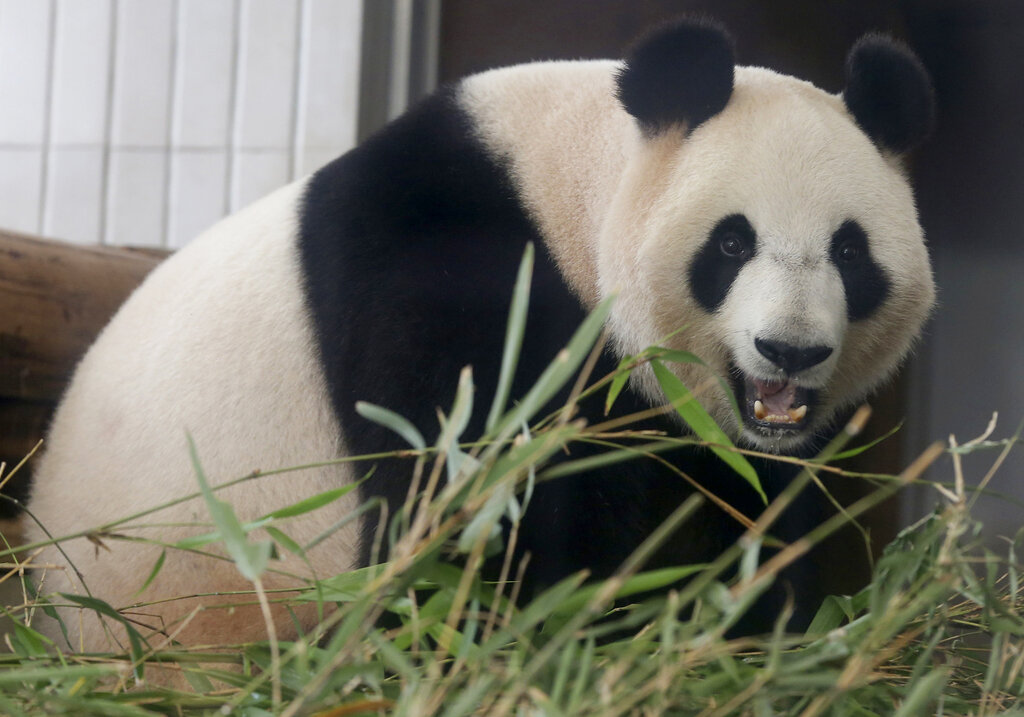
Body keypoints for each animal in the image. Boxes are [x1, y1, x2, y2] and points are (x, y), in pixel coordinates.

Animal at [24, 18, 937, 655]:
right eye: (732, 243)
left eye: (850, 251)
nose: (791, 349)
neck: (566, 191)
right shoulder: (453, 274)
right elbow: (474, 500)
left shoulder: (708, 436)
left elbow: (734, 509)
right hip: (198, 594)